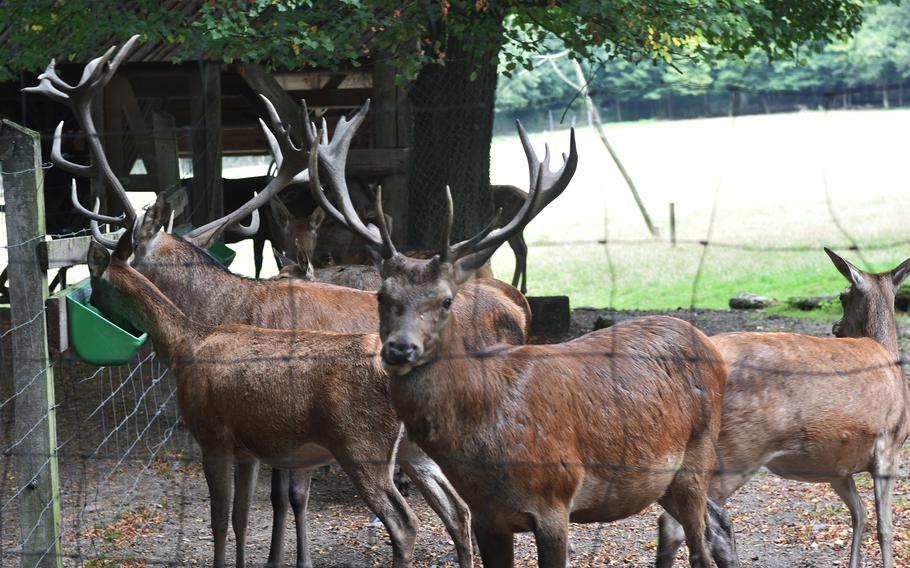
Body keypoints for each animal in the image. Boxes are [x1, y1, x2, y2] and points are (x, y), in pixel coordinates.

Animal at [26, 35, 536, 568]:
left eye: (125, 252)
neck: (212, 317)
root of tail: (520, 307)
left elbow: (279, 498)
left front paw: (287, 559)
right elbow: (258, 507)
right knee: (459, 509)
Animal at [306, 116, 740, 568]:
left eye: (446, 300)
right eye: (381, 295)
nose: (399, 349)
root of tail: (710, 345)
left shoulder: (554, 502)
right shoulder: (487, 516)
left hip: (698, 454)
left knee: (700, 546)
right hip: (663, 481)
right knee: (711, 523)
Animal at [660, 248, 908, 568]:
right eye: (842, 296)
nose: (836, 328)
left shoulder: (837, 469)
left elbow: (860, 515)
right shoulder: (889, 444)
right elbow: (884, 525)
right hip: (732, 451)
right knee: (679, 525)